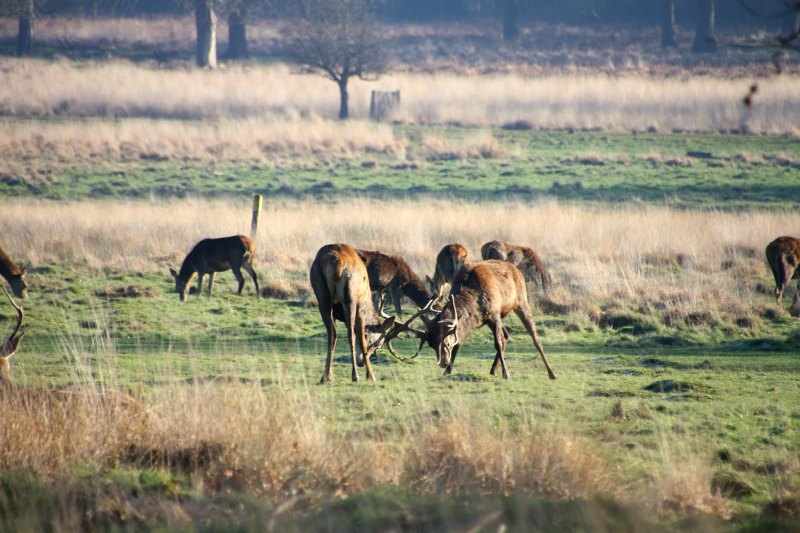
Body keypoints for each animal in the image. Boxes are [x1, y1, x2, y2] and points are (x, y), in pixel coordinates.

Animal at [312, 243, 400, 384]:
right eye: (377, 344)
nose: (361, 363)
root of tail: (337, 261)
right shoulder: (361, 309)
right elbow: (361, 339)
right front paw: (370, 376)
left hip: (322, 294)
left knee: (332, 334)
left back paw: (326, 376)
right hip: (350, 297)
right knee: (350, 336)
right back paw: (355, 375)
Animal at [390, 260, 556, 380]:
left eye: (445, 342)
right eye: (431, 345)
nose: (443, 363)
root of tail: (516, 269)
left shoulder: (494, 314)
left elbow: (497, 343)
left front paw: (507, 373)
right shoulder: (484, 320)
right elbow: (460, 343)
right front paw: (447, 372)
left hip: (521, 301)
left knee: (534, 337)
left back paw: (551, 373)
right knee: (506, 336)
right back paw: (492, 370)